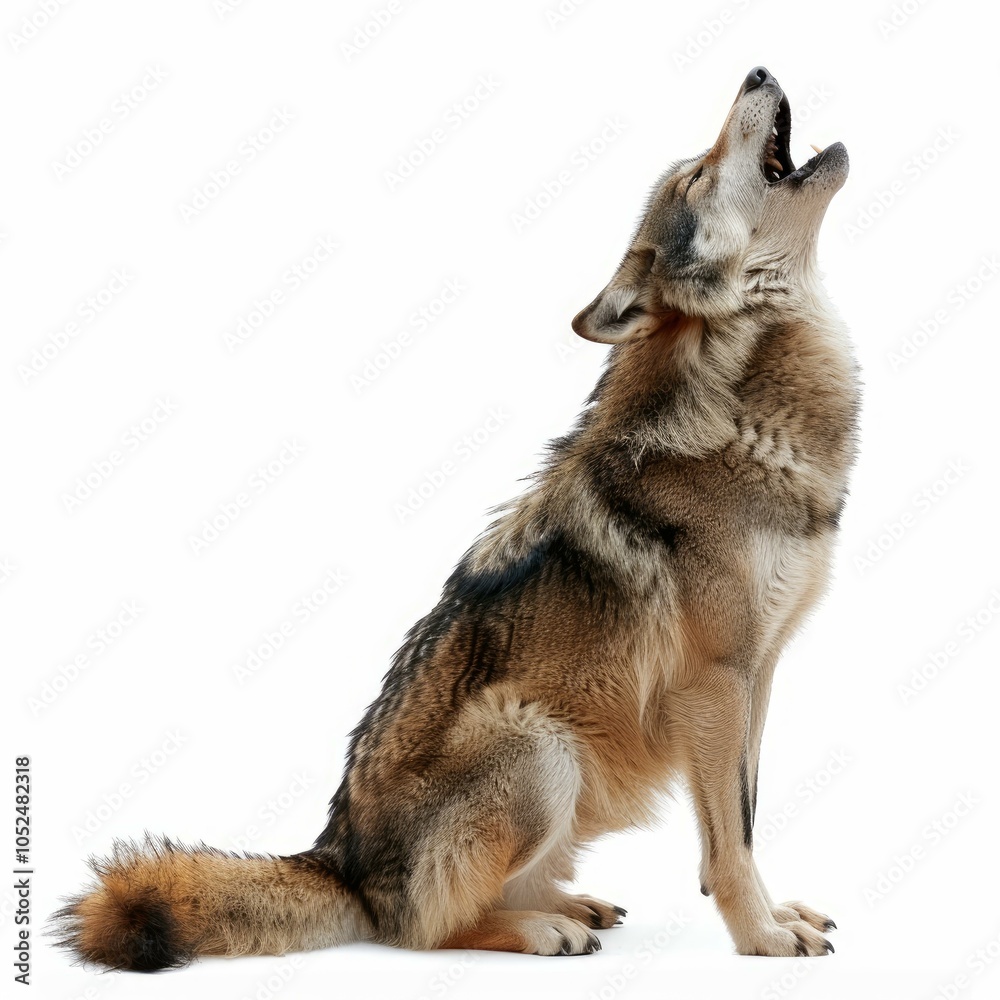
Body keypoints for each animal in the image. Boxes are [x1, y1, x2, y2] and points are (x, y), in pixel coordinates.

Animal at [54, 66, 858, 969]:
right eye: (693, 175)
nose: (756, 71)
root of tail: (343, 868)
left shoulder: (761, 670)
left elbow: (748, 816)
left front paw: (776, 915)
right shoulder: (715, 680)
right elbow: (730, 839)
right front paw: (760, 937)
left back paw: (573, 905)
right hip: (537, 743)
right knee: (427, 931)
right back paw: (545, 929)